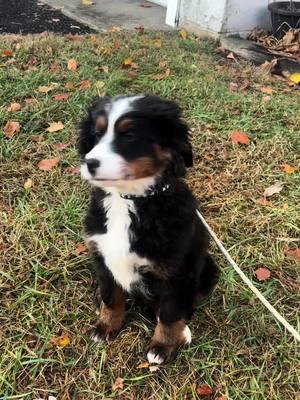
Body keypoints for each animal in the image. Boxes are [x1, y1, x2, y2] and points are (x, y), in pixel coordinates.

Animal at [78, 95, 219, 364]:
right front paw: (106, 326)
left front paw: (163, 346)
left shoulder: (176, 271)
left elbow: (170, 313)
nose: (89, 163)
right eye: (97, 133)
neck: (128, 199)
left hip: (208, 269)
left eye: (130, 135)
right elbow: (111, 297)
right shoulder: (101, 255)